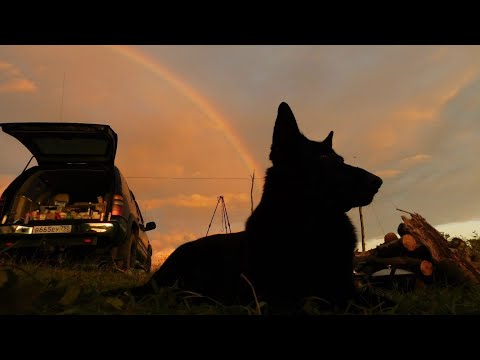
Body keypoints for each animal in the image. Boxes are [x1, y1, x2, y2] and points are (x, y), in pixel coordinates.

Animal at [130, 101, 382, 312]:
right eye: (323, 159)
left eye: (341, 160)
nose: (378, 181)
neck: (311, 225)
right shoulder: (271, 295)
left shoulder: (346, 286)